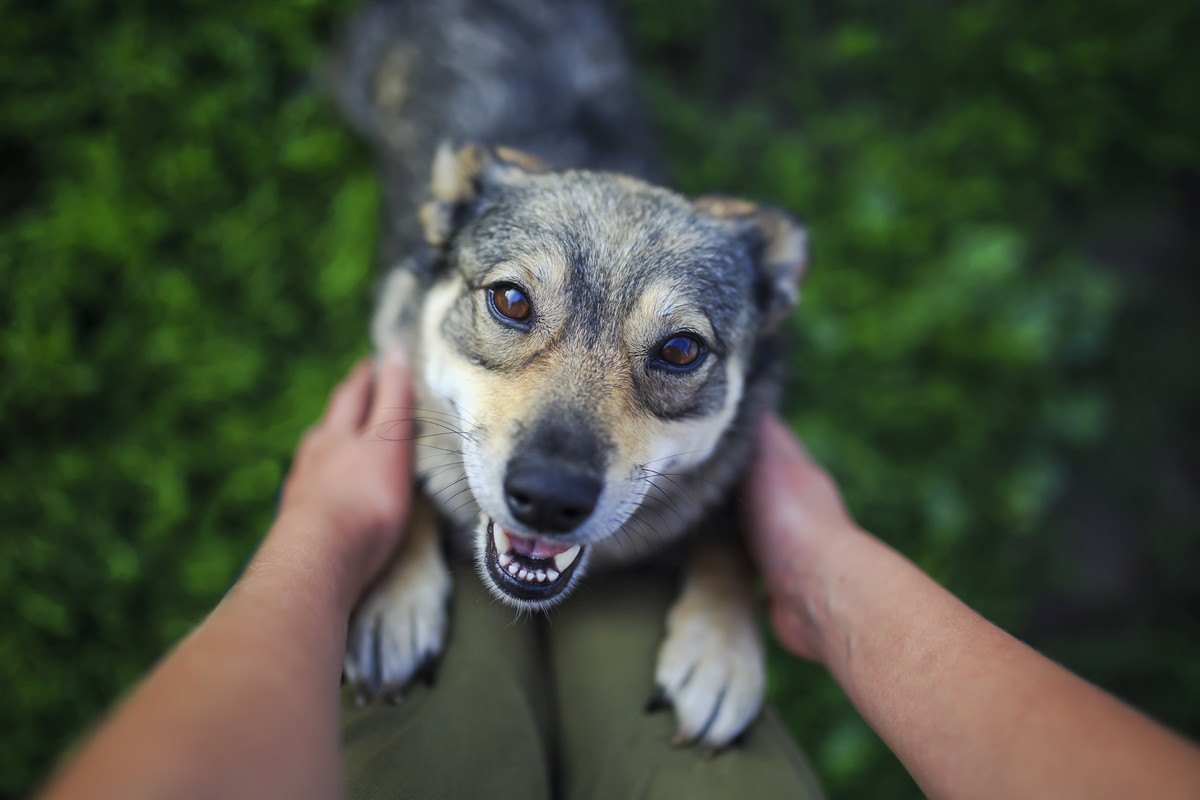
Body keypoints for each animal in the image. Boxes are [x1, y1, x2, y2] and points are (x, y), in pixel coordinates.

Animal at [333, 0, 811, 753]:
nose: (549, 499)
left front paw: (720, 649)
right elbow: (405, 468)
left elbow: (728, 529)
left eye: (681, 349)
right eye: (510, 300)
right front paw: (394, 595)